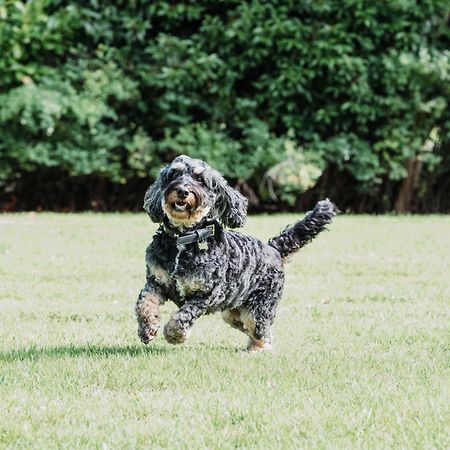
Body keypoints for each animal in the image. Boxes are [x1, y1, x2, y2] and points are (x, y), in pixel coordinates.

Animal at [135, 155, 336, 352]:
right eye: (174, 174)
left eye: (200, 179)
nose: (183, 191)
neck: (183, 239)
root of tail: (273, 248)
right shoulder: (156, 282)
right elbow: (144, 303)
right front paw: (148, 327)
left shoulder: (206, 294)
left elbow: (183, 315)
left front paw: (175, 334)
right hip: (233, 312)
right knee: (252, 330)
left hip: (259, 308)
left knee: (261, 332)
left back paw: (256, 350)